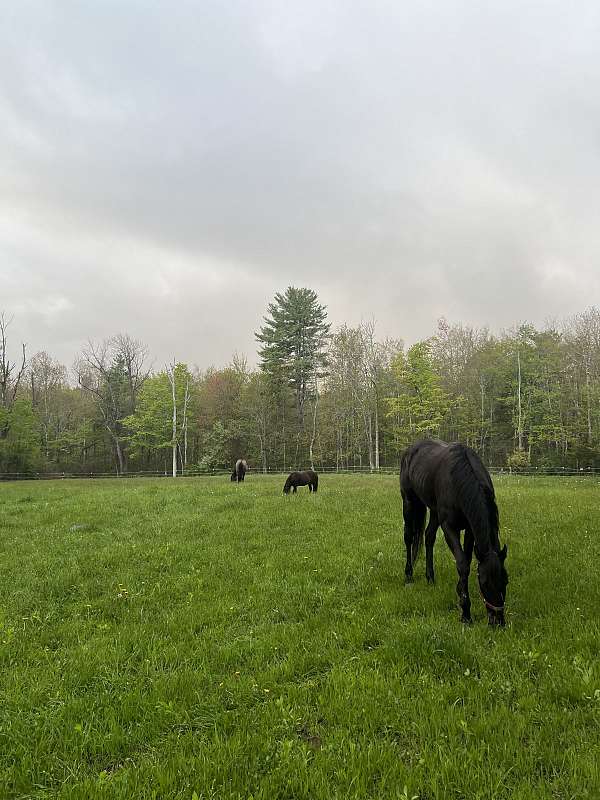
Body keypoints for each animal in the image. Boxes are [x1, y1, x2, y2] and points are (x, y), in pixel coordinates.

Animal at [400, 439, 508, 626]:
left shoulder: (470, 528)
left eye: (506, 581)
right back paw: (409, 575)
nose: (497, 621)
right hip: (408, 502)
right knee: (409, 537)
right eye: (484, 582)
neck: (459, 480)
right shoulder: (449, 528)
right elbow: (462, 564)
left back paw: (430, 578)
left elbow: (468, 559)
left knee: (428, 537)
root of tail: (410, 450)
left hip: (434, 510)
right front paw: (465, 613)